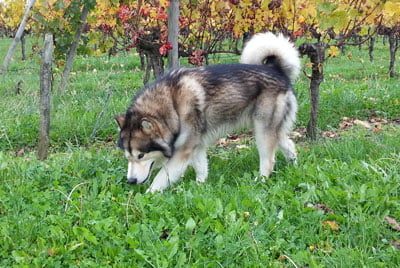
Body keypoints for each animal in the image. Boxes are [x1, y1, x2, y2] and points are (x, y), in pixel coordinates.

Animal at [115, 31, 300, 193]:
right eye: (127, 156)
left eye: (141, 155)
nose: (131, 181)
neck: (172, 105)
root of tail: (275, 69)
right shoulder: (195, 144)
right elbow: (201, 167)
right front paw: (200, 186)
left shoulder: (183, 151)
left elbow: (160, 178)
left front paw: (148, 195)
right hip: (272, 128)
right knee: (288, 144)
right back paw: (294, 167)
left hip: (262, 130)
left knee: (268, 160)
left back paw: (261, 180)